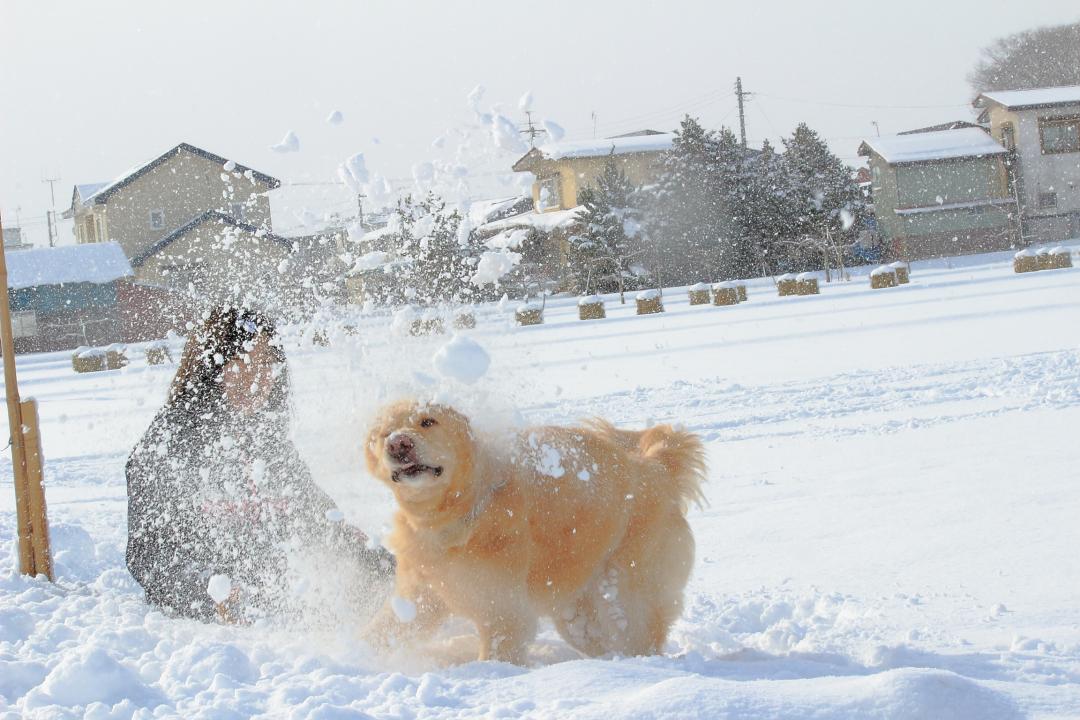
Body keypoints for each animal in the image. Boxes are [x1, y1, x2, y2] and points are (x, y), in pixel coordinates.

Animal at [362, 399, 704, 664]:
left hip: (625, 591)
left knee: (640, 636)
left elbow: (497, 652)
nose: (398, 443)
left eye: (428, 421)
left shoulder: (503, 610)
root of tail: (656, 468)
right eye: (383, 434)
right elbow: (381, 632)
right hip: (577, 612)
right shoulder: (421, 596)